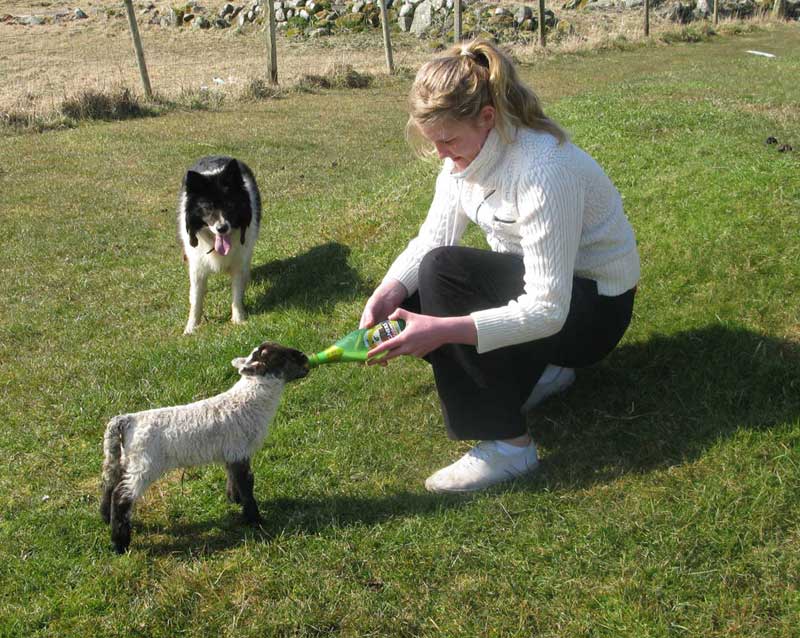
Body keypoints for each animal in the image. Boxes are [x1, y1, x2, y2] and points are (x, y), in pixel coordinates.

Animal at [99, 340, 310, 556]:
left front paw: (234, 500)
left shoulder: (231, 453)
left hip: (125, 459)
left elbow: (233, 478)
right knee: (121, 496)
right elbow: (247, 483)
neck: (249, 401)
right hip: (145, 464)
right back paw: (119, 544)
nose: (305, 357)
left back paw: (106, 519)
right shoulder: (239, 449)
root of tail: (127, 421)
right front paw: (254, 519)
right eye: (280, 356)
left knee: (109, 484)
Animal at [178, 158, 262, 336]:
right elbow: (196, 299)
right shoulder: (197, 264)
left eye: (230, 205)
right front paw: (190, 328)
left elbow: (237, 292)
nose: (222, 228)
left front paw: (238, 320)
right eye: (207, 208)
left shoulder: (239, 259)